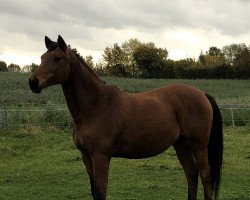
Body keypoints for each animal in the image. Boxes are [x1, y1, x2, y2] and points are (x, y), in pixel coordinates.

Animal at [28, 36, 223, 200]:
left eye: (57, 58)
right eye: (42, 57)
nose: (33, 82)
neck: (96, 105)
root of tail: (202, 94)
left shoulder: (100, 157)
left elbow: (100, 193)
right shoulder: (86, 157)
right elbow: (93, 192)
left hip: (198, 145)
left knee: (205, 175)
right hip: (181, 144)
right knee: (191, 173)